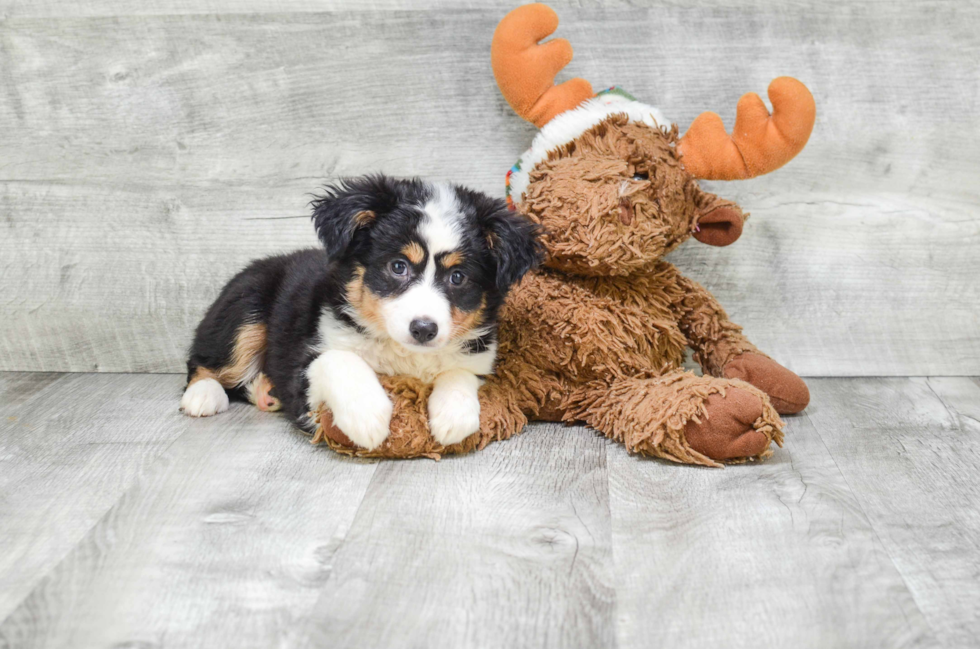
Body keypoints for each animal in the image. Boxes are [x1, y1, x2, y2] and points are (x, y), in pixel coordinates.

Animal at [180, 177, 540, 450]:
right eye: (398, 266)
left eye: (458, 277)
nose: (424, 329)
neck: (406, 355)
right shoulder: (306, 367)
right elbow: (340, 360)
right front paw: (368, 418)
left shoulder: (478, 356)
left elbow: (459, 373)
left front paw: (454, 417)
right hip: (246, 308)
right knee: (204, 361)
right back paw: (203, 395)